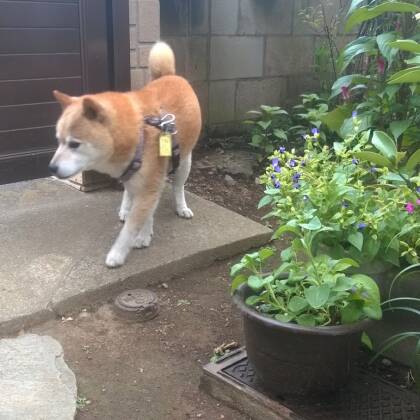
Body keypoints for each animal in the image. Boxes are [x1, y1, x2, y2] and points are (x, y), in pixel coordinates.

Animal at [49, 41, 202, 266]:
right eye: (59, 141)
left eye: (74, 144)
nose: (51, 168)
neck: (137, 132)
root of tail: (169, 75)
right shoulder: (144, 183)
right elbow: (143, 212)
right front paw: (144, 233)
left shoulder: (150, 185)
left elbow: (131, 227)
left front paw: (118, 253)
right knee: (129, 192)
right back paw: (125, 208)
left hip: (184, 161)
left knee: (178, 187)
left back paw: (181, 207)